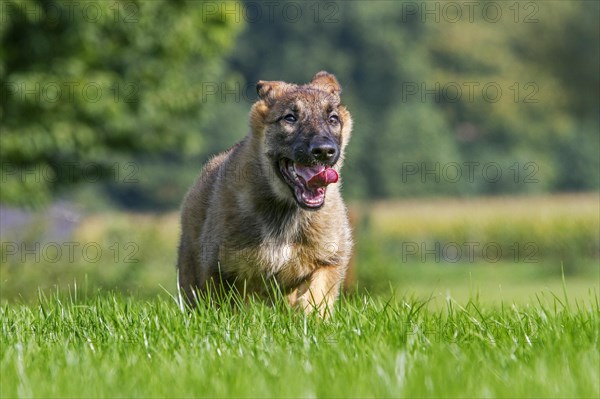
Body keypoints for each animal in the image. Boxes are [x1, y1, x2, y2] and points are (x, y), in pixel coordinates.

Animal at [176, 71, 354, 316]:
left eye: (333, 119)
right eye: (290, 118)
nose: (324, 151)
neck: (285, 208)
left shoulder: (330, 258)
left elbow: (317, 293)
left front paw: (309, 315)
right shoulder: (222, 271)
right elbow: (228, 308)